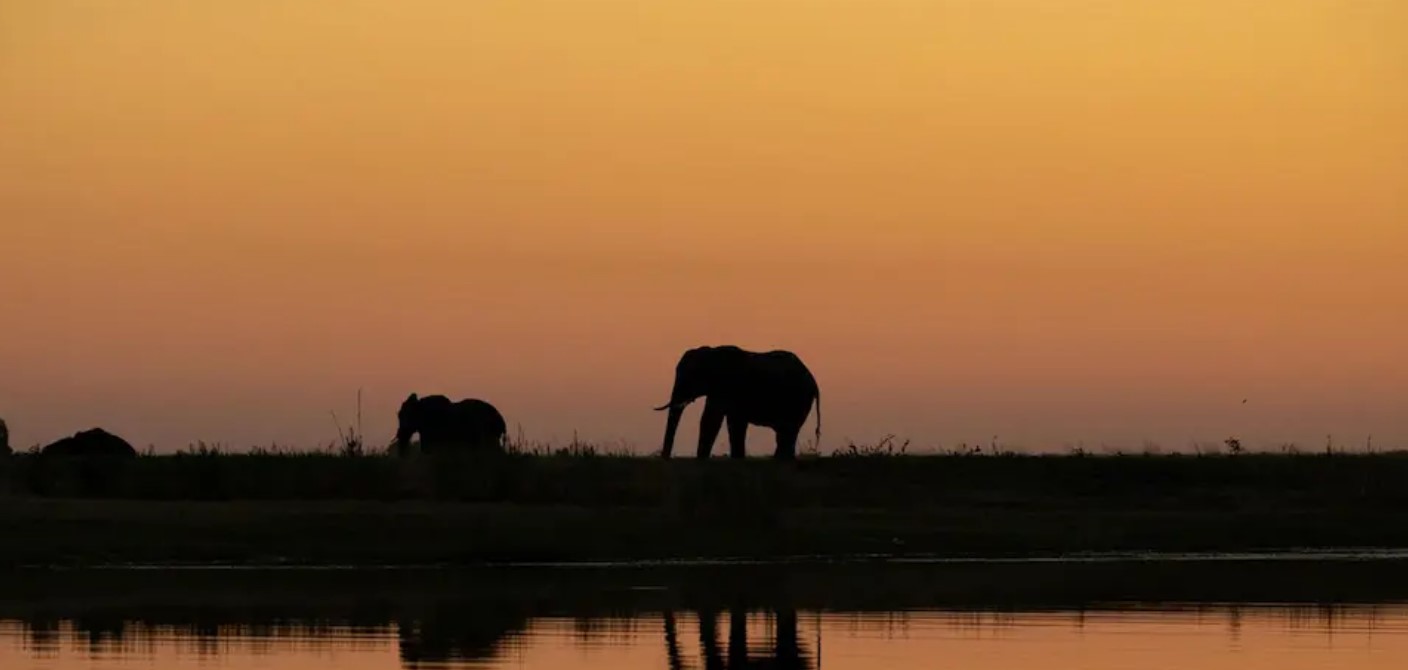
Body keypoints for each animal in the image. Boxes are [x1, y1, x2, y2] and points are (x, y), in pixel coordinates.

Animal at [653, 344, 822, 461]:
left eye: (689, 378)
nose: (665, 458)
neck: (711, 352)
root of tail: (813, 380)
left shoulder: (726, 385)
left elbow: (712, 419)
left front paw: (702, 459)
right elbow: (731, 422)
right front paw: (736, 458)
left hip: (798, 399)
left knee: (787, 431)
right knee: (785, 433)